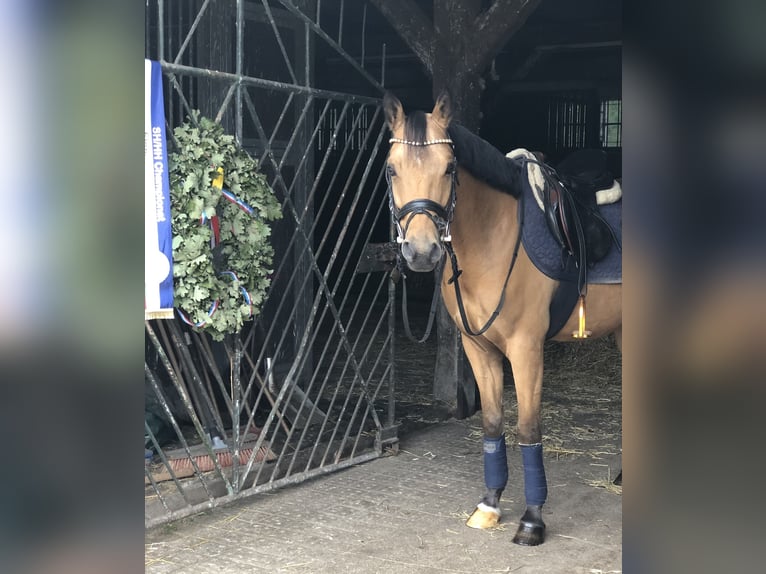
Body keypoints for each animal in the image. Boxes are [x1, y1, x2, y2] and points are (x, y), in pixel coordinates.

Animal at [384, 92, 624, 548]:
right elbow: (493, 423)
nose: (421, 252)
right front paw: (490, 504)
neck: (492, 240)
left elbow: (528, 430)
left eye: (449, 167)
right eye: (391, 168)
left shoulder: (526, 349)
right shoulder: (478, 348)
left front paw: (532, 521)